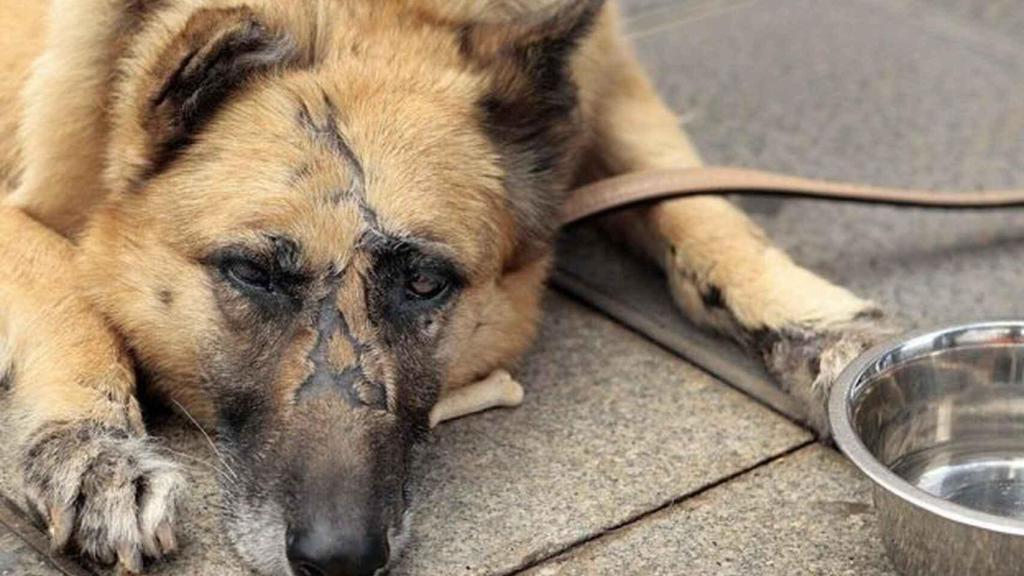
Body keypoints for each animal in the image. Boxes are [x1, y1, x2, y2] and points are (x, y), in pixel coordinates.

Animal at [0, 0, 888, 569]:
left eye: (425, 283)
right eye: (252, 274)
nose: (339, 558)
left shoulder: (614, 79)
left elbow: (697, 201)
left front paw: (818, 325)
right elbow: (63, 281)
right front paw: (93, 446)